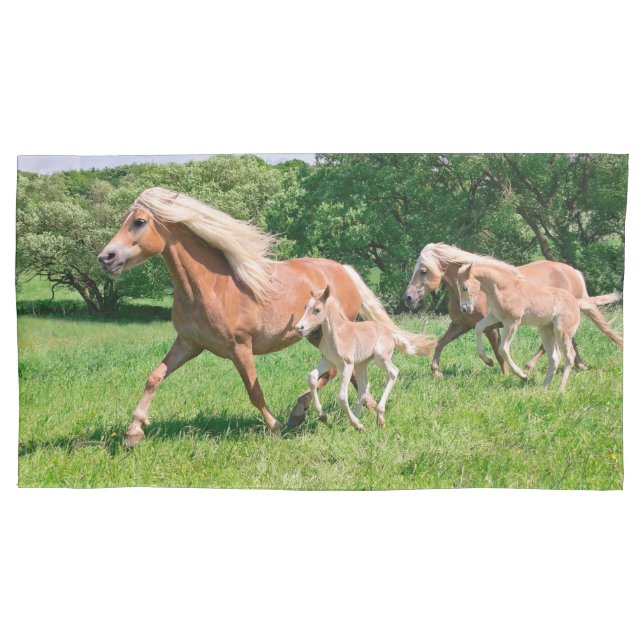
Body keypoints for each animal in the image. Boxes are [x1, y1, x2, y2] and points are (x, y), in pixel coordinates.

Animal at [294, 285, 435, 430]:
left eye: (317, 310)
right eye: (305, 307)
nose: (299, 328)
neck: (336, 334)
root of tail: (390, 332)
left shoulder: (347, 364)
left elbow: (341, 397)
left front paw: (354, 423)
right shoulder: (328, 360)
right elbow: (311, 377)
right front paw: (323, 416)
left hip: (380, 357)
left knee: (393, 372)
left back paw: (377, 417)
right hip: (361, 364)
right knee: (364, 387)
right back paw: (358, 421)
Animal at [403, 243, 623, 377]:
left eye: (423, 271)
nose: (408, 298)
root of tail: (573, 272)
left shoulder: (492, 326)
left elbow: (498, 351)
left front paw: (502, 370)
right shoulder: (460, 325)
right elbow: (440, 343)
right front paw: (436, 371)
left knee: (551, 344)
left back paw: (530, 366)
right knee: (568, 341)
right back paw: (580, 365)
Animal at [456, 262, 621, 391]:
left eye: (464, 287)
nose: (464, 309)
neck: (503, 288)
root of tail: (576, 301)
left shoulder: (512, 322)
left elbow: (503, 349)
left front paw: (522, 375)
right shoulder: (495, 317)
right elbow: (478, 327)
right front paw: (488, 360)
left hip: (562, 332)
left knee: (569, 355)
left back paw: (560, 390)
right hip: (546, 331)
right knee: (555, 358)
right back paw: (543, 388)